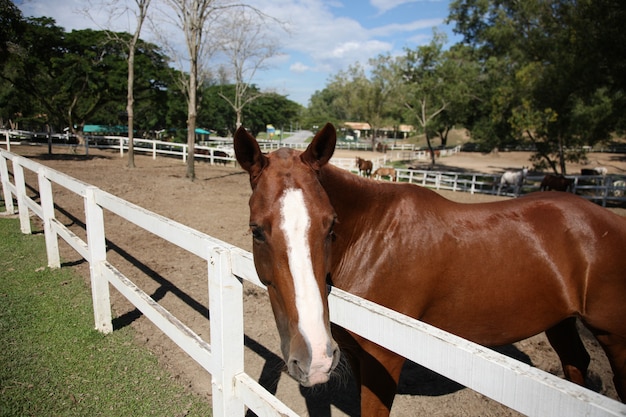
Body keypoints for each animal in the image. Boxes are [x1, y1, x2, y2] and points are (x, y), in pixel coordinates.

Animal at [233, 123, 624, 416]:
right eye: (257, 230)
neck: (373, 238)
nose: (314, 359)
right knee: (576, 362)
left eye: (331, 226)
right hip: (560, 321)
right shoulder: (359, 359)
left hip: (613, 336)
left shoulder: (383, 361)